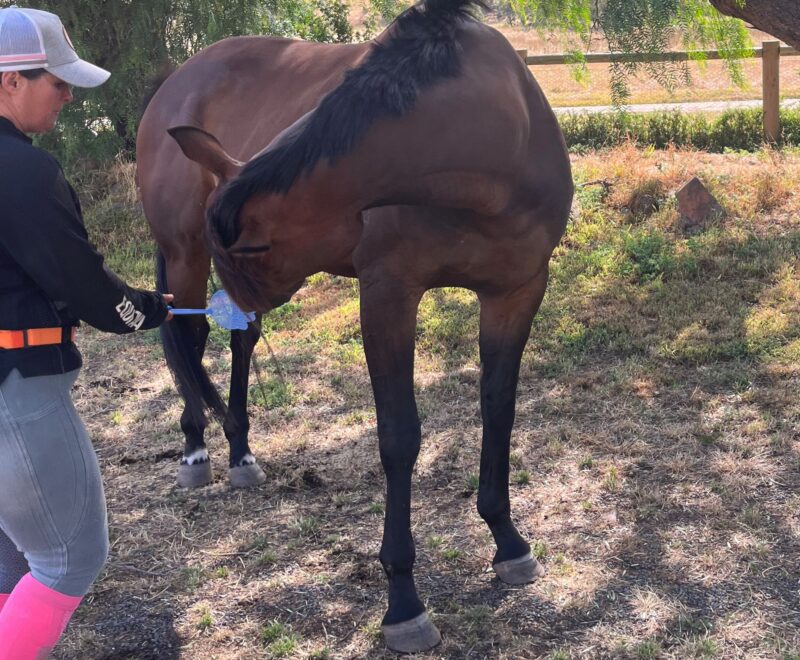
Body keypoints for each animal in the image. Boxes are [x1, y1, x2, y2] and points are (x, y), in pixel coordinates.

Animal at [139, 0, 576, 648]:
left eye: (252, 248)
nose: (236, 296)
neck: (498, 139)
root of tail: (175, 82)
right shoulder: (388, 294)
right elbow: (399, 436)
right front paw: (403, 600)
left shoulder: (517, 291)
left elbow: (499, 409)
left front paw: (508, 542)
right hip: (184, 255)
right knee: (189, 340)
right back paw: (196, 449)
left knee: (235, 343)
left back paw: (240, 451)